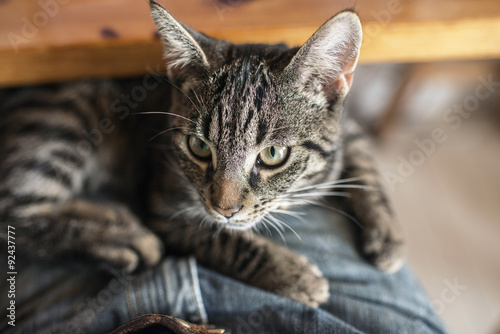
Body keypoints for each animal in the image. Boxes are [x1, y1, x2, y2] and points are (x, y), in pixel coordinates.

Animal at [0, 0, 404, 308]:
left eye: (273, 153)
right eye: (199, 147)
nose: (225, 209)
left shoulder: (349, 129)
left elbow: (366, 165)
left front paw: (388, 235)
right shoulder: (165, 206)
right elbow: (223, 240)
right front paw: (293, 273)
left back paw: (110, 216)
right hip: (64, 122)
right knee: (13, 213)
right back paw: (123, 239)